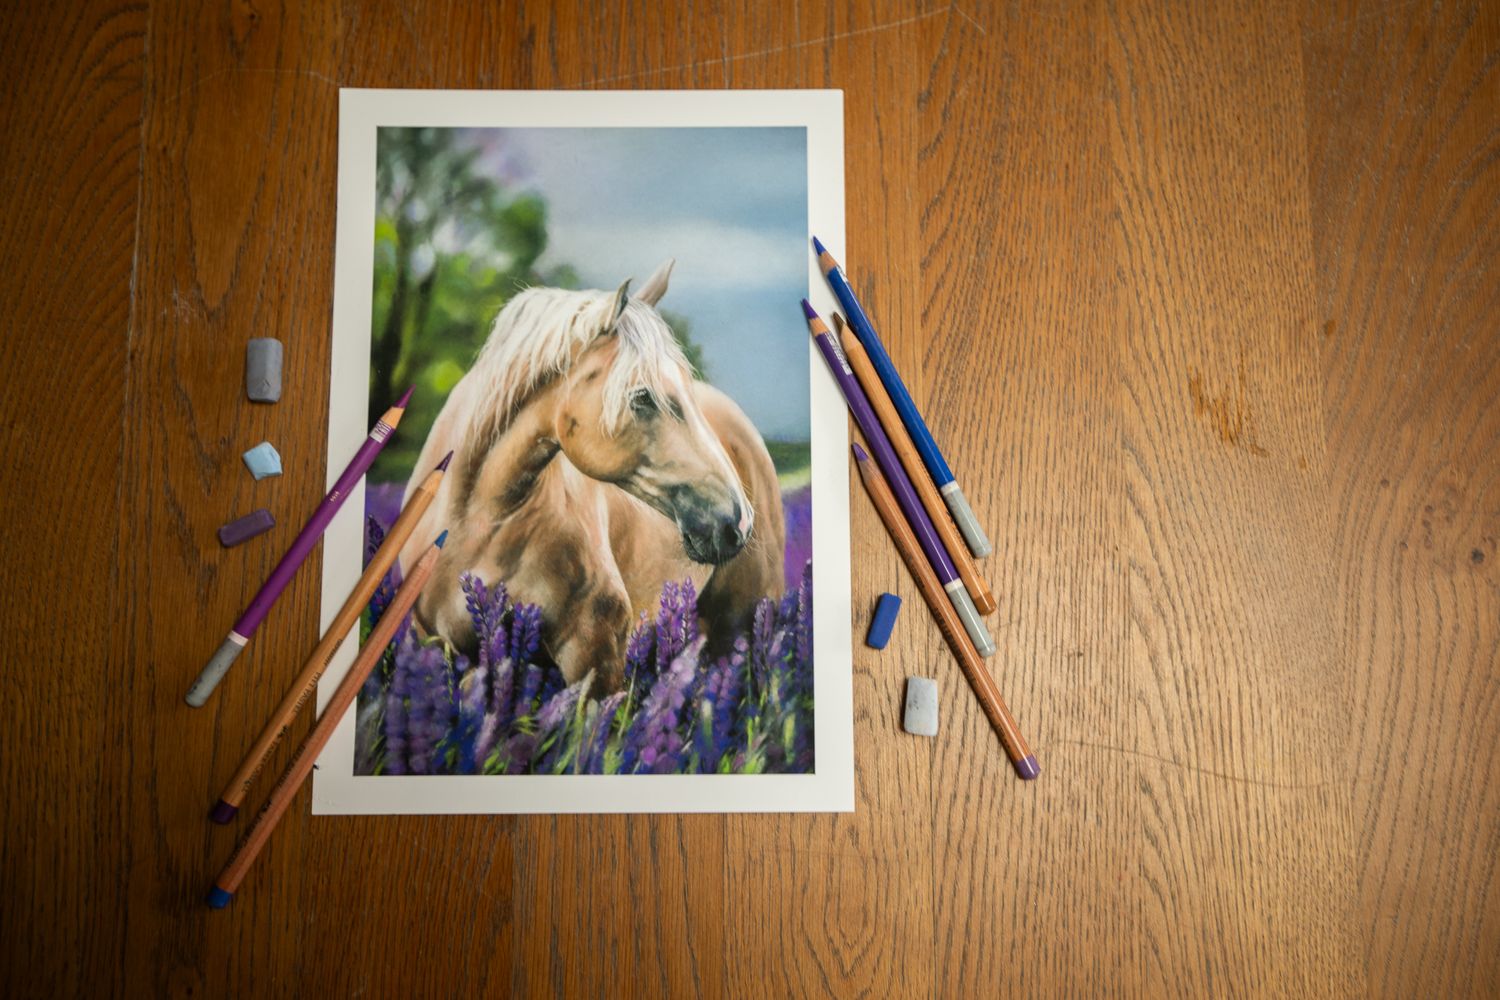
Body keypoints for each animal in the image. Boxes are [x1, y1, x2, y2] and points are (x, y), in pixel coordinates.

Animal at [396, 259, 786, 690]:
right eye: (642, 396)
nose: (737, 520)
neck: (480, 521)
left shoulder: (594, 657)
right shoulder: (448, 652)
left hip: (743, 624)